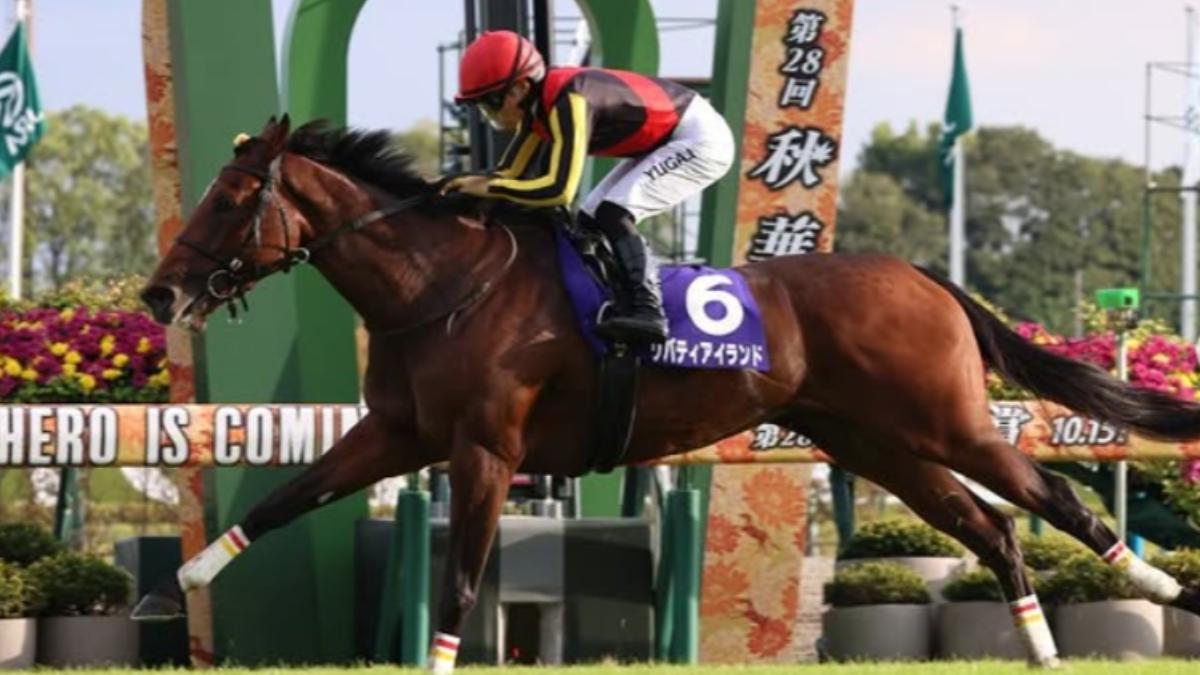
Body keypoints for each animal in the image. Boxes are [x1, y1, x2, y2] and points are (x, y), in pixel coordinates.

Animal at [138, 115, 1200, 669]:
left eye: (233, 197)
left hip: (946, 423)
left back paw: (1154, 586)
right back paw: (1041, 646)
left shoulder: (486, 446)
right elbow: (288, 494)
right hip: (875, 444)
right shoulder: (400, 432)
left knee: (1047, 494)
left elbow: (466, 573)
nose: (160, 292)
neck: (441, 284)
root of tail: (923, 274)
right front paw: (189, 577)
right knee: (992, 526)